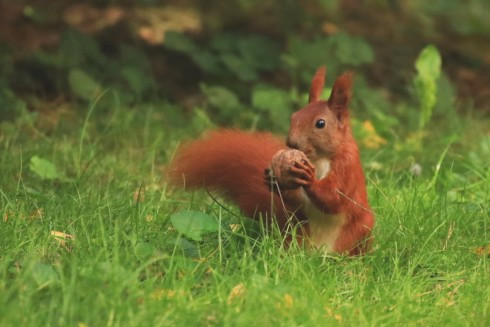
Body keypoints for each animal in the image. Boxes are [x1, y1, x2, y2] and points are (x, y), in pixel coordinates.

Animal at [169, 66, 376, 256]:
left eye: (320, 123)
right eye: (294, 116)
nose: (291, 142)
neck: (319, 159)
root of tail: (318, 253)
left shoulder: (347, 166)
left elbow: (335, 198)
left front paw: (309, 179)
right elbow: (300, 200)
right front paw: (274, 182)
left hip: (358, 230)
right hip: (297, 228)